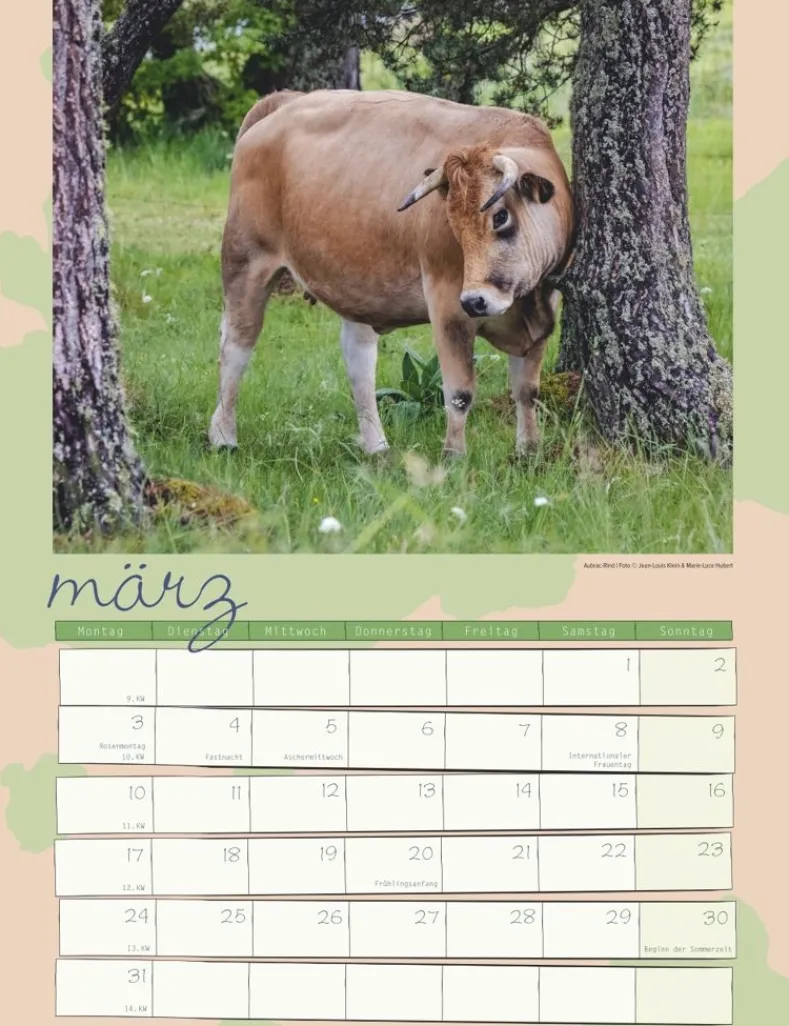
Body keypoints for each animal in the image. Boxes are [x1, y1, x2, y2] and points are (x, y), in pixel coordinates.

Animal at [209, 89, 574, 458]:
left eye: (500, 216)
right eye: (453, 226)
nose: (476, 301)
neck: (527, 304)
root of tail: (285, 102)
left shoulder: (542, 310)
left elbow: (527, 390)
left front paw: (529, 452)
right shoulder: (448, 306)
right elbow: (459, 393)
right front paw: (454, 457)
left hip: (354, 286)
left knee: (358, 361)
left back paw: (377, 447)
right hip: (246, 261)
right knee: (236, 347)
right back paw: (223, 436)